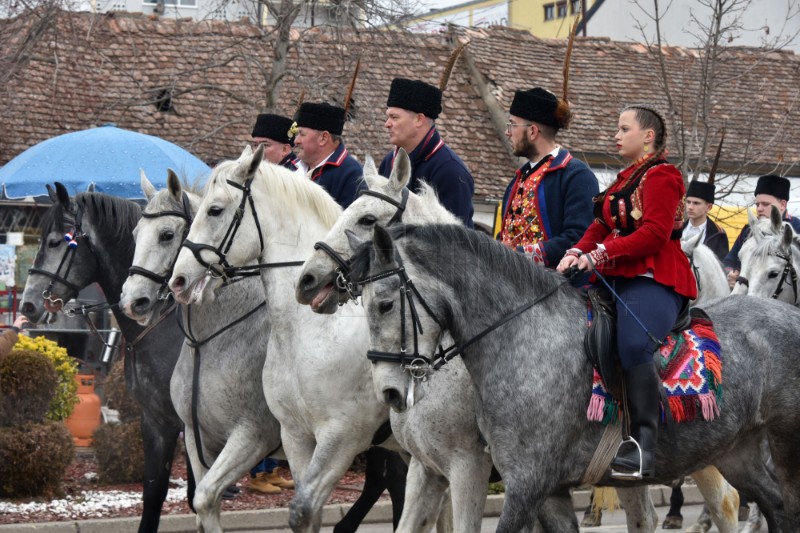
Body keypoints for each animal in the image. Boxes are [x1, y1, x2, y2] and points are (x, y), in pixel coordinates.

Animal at [119, 171, 282, 532]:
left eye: (167, 235)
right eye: (135, 234)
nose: (132, 301)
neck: (208, 340)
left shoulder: (252, 435)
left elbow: (201, 496)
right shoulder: (192, 434)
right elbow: (194, 501)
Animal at [352, 223, 800, 532]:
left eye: (385, 304)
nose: (389, 391)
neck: (524, 337)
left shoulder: (515, 482)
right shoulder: (545, 490)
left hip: (781, 445)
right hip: (736, 450)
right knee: (774, 506)